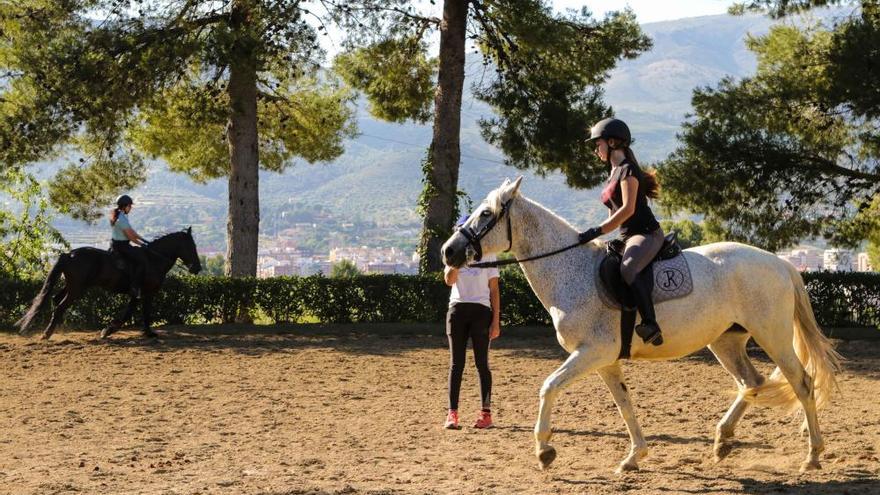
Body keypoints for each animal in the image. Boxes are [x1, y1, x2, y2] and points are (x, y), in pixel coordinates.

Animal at [16, 229, 202, 340]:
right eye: (192, 246)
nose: (197, 268)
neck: (153, 259)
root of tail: (70, 254)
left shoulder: (141, 294)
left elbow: (142, 312)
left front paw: (147, 332)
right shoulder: (144, 292)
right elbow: (134, 313)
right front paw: (108, 330)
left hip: (71, 286)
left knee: (55, 300)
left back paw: (57, 328)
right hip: (76, 289)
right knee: (60, 306)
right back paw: (47, 334)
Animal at [444, 177, 844, 472]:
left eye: (485, 213)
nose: (448, 252)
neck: (573, 270)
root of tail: (781, 263)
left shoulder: (592, 353)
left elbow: (548, 387)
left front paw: (544, 451)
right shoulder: (605, 360)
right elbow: (624, 403)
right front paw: (634, 457)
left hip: (773, 335)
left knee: (802, 384)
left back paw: (812, 456)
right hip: (725, 342)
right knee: (752, 383)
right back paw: (722, 440)